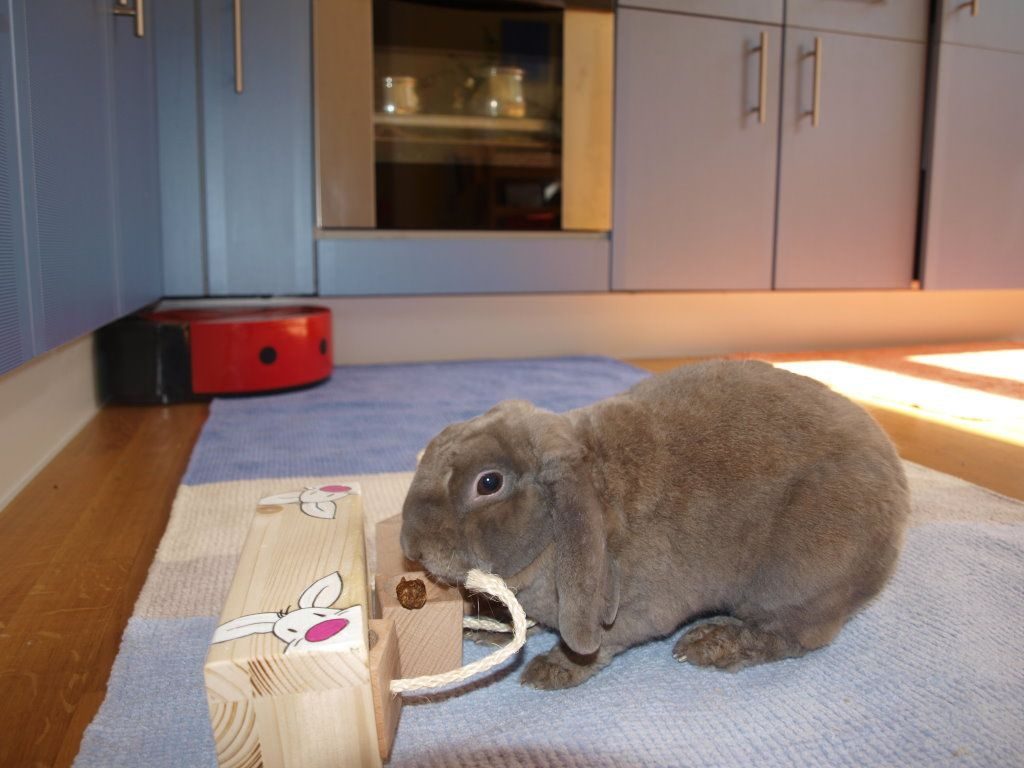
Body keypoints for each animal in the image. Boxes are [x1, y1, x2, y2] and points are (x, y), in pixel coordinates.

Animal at [400, 360, 910, 690]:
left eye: (488, 483)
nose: (411, 546)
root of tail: (900, 488)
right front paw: (494, 630)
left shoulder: (632, 608)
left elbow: (600, 643)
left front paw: (552, 671)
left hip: (800, 579)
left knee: (797, 635)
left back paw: (712, 645)